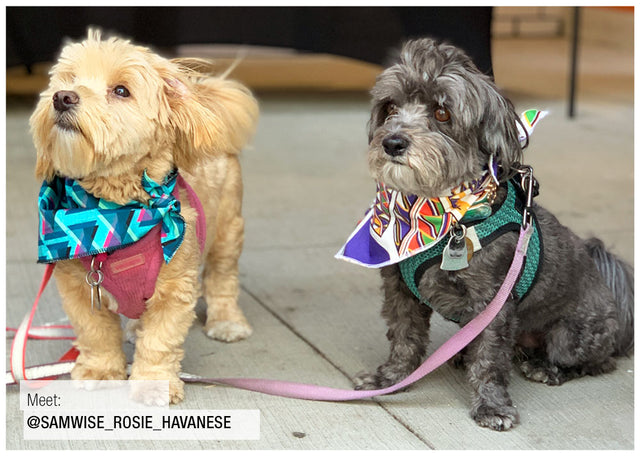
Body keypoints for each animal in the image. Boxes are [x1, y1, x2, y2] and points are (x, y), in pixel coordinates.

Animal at [29, 29, 260, 402]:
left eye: (121, 91)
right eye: (69, 79)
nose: (62, 98)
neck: (113, 212)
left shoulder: (174, 290)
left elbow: (160, 342)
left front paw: (153, 382)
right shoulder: (80, 289)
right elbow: (96, 333)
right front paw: (101, 369)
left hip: (227, 231)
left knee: (222, 279)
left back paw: (227, 321)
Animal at [352, 37, 632, 430]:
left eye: (443, 113)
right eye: (390, 106)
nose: (392, 143)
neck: (433, 212)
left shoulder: (492, 302)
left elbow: (490, 358)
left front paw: (491, 405)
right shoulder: (399, 290)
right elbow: (405, 336)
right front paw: (391, 378)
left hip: (572, 336)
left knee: (595, 362)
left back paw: (548, 368)